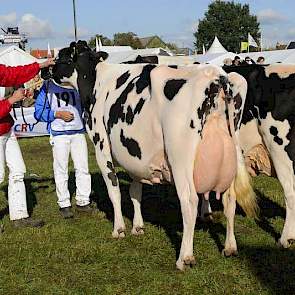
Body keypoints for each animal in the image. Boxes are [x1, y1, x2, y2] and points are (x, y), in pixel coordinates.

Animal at [51, 41, 256, 270]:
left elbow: (114, 191)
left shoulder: (101, 146)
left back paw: (184, 257)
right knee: (230, 199)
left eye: (62, 57)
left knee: (189, 201)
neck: (97, 79)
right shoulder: (135, 155)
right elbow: (135, 190)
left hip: (180, 158)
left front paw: (119, 229)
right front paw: (138, 226)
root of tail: (216, 76)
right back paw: (230, 247)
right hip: (232, 152)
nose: (44, 70)